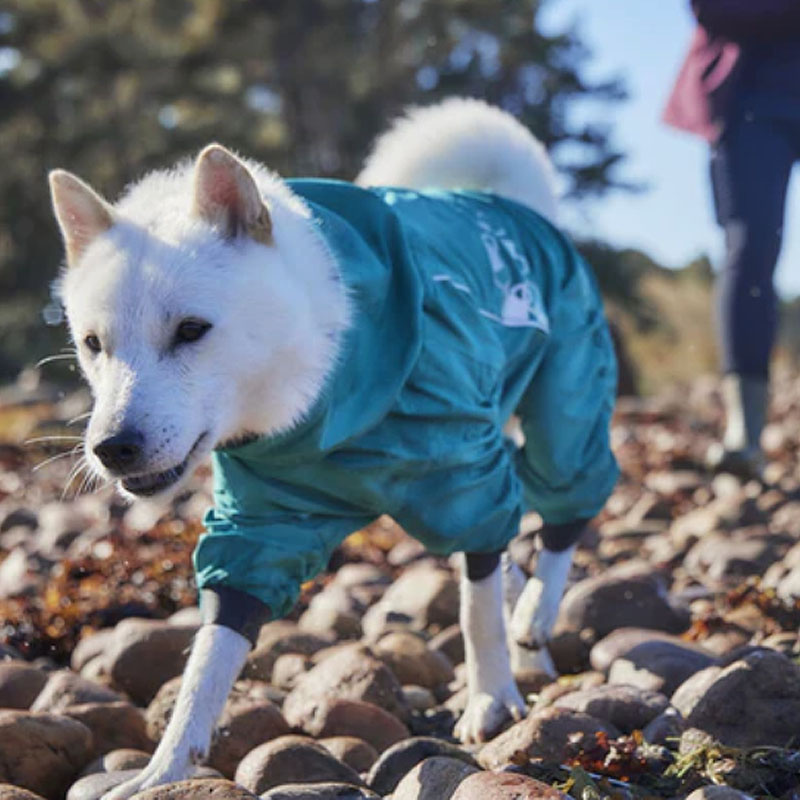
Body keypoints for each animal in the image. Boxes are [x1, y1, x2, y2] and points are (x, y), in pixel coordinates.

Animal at [48, 98, 620, 792]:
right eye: (92, 344)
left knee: (565, 503)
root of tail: (502, 201)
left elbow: (476, 609)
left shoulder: (466, 482)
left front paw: (489, 697)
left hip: (564, 402)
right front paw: (166, 767)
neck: (318, 394)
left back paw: (535, 613)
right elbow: (210, 656)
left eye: (190, 330)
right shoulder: (260, 524)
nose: (112, 447)